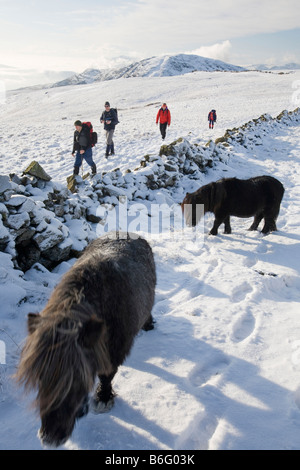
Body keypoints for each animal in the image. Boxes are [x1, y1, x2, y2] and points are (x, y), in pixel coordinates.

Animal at [15, 233, 157, 446]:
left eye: (76, 381)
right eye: (39, 378)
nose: (50, 438)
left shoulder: (114, 351)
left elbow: (107, 375)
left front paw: (103, 398)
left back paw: (148, 325)